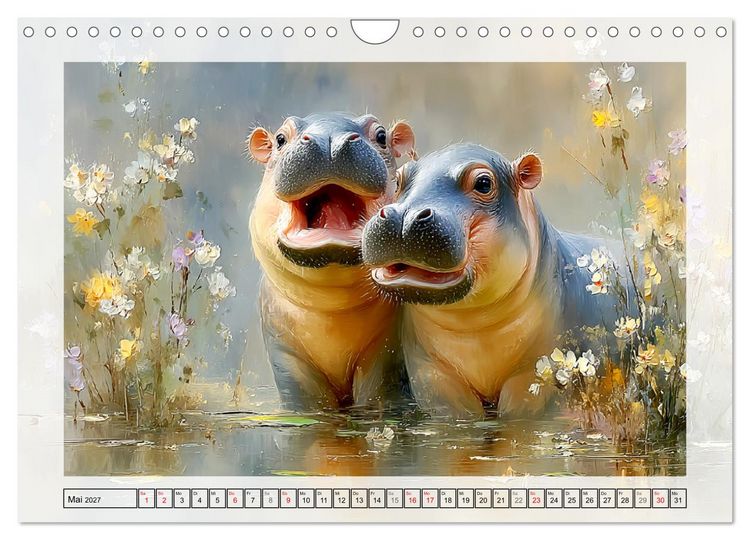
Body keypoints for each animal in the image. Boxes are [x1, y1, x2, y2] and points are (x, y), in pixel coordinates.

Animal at [247, 112, 416, 411]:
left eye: (381, 136)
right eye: (280, 139)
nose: (329, 138)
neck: (331, 303)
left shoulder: (386, 353)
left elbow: (377, 393)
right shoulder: (287, 357)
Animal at [362, 143, 633, 419]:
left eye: (483, 183)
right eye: (398, 180)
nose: (404, 215)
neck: (473, 325)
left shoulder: (538, 374)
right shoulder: (431, 375)